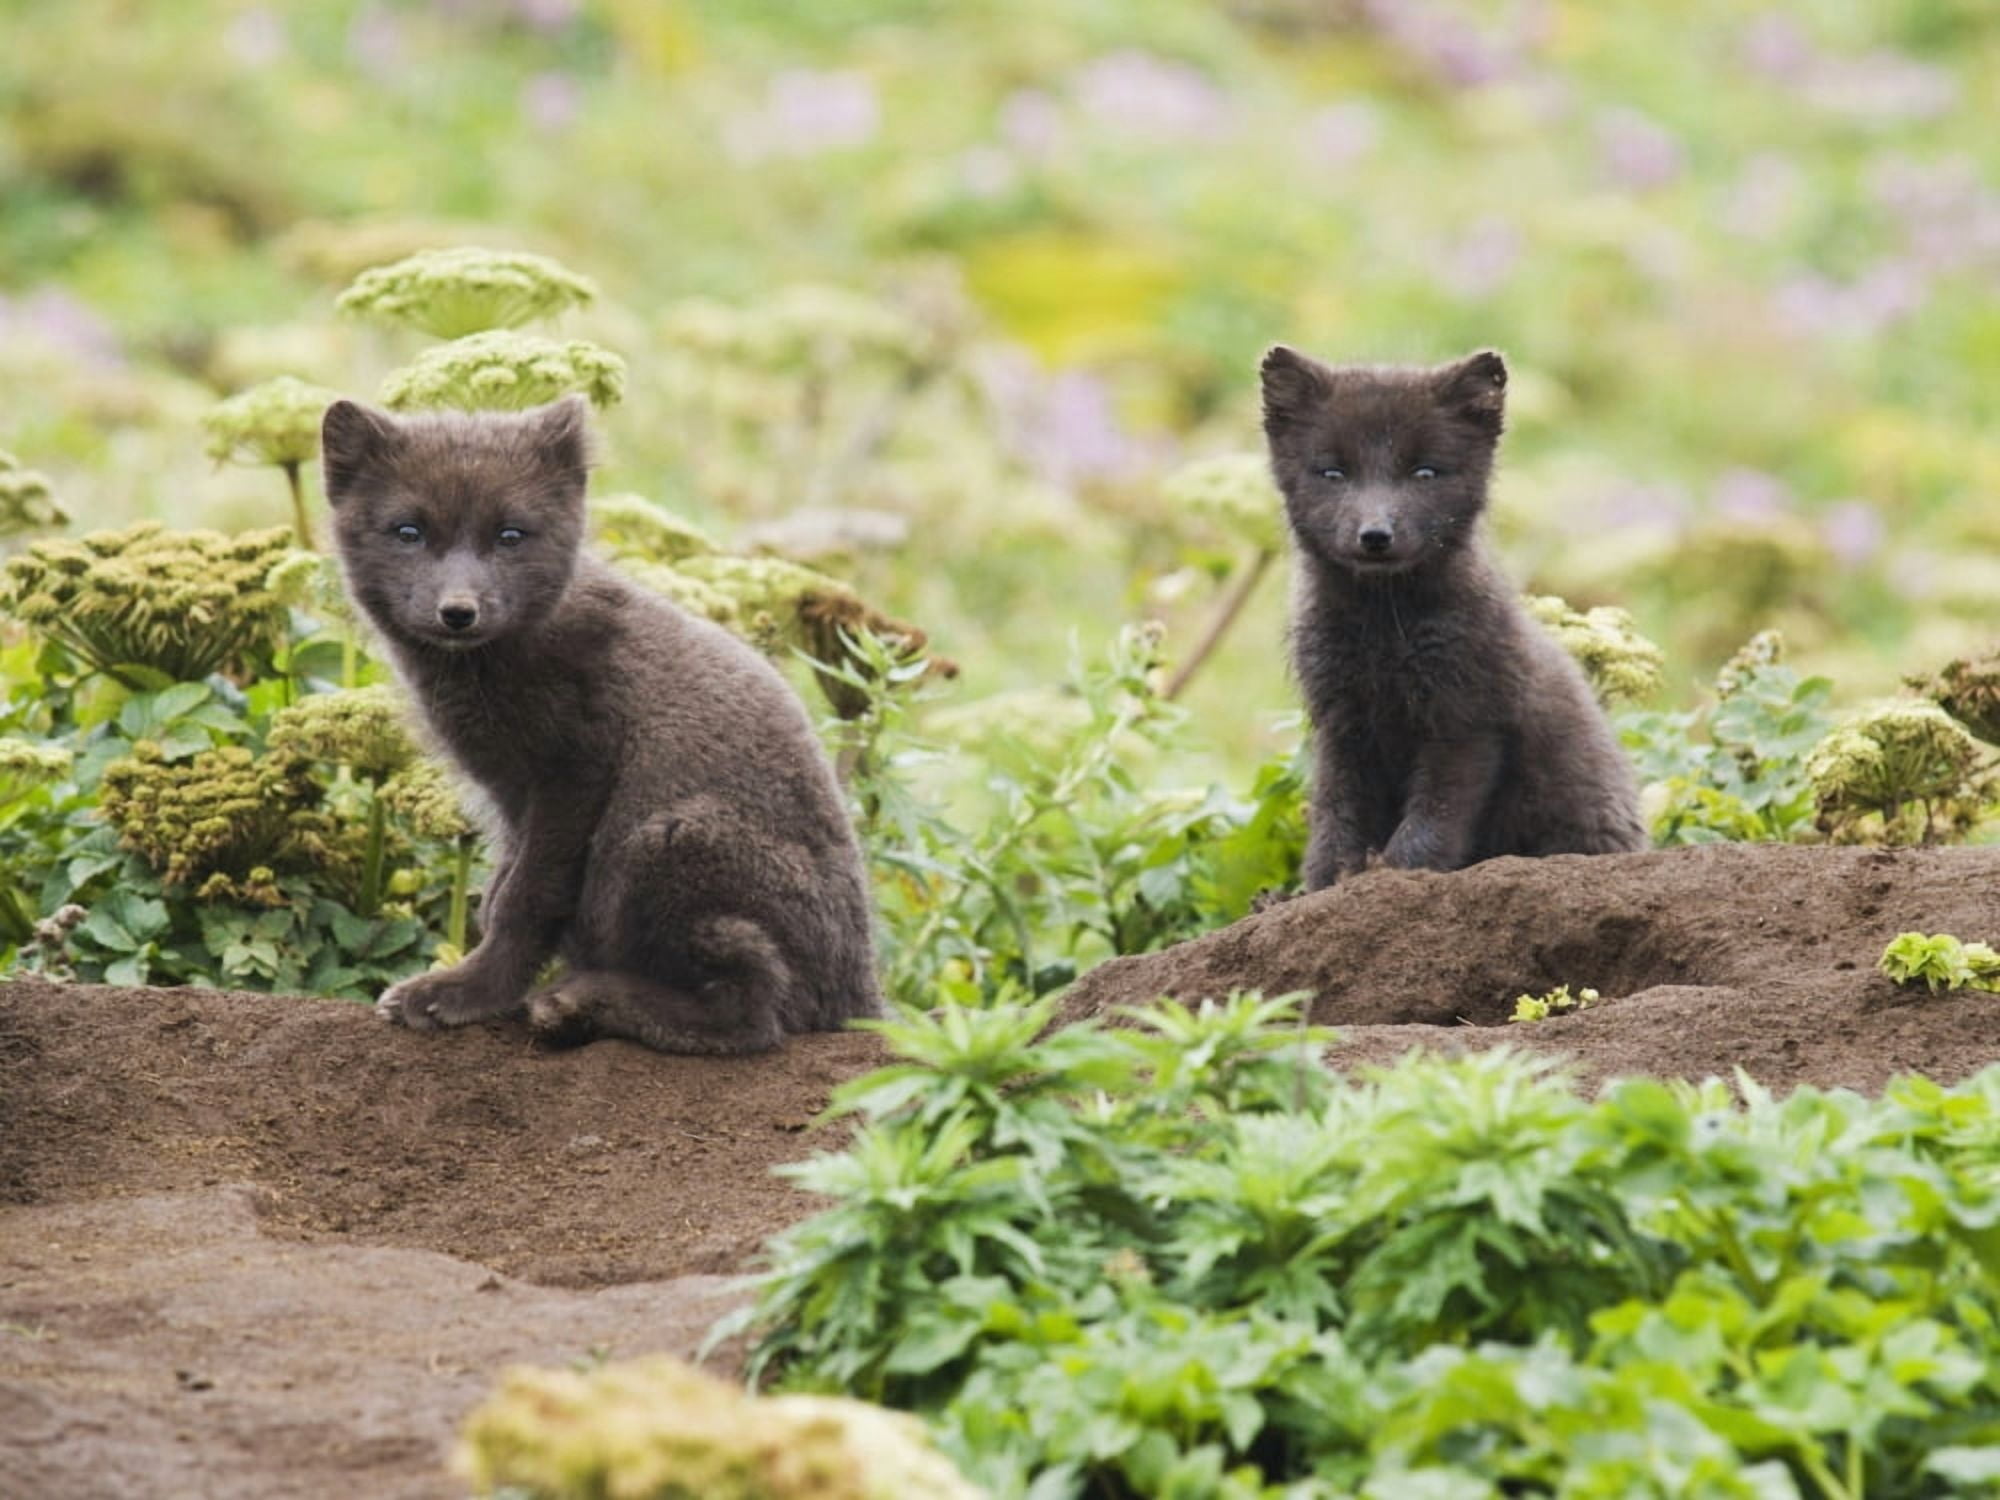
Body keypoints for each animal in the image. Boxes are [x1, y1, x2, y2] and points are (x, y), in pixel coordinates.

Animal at [319, 395, 882, 1052]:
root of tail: (863, 1000)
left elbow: (524, 899)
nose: (458, 612)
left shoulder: (575, 771)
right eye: (408, 532)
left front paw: (465, 994)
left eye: (510, 535)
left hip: (660, 840)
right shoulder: (512, 797)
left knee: (757, 1015)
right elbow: (499, 890)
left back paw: (580, 1003)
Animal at [1260, 345, 1647, 890]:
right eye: (1333, 473)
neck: (1384, 634)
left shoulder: (1467, 721)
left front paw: (1392, 875)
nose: (1375, 535)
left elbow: (1433, 821)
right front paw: (1322, 887)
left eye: (1424, 472)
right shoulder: (1341, 724)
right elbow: (1335, 819)